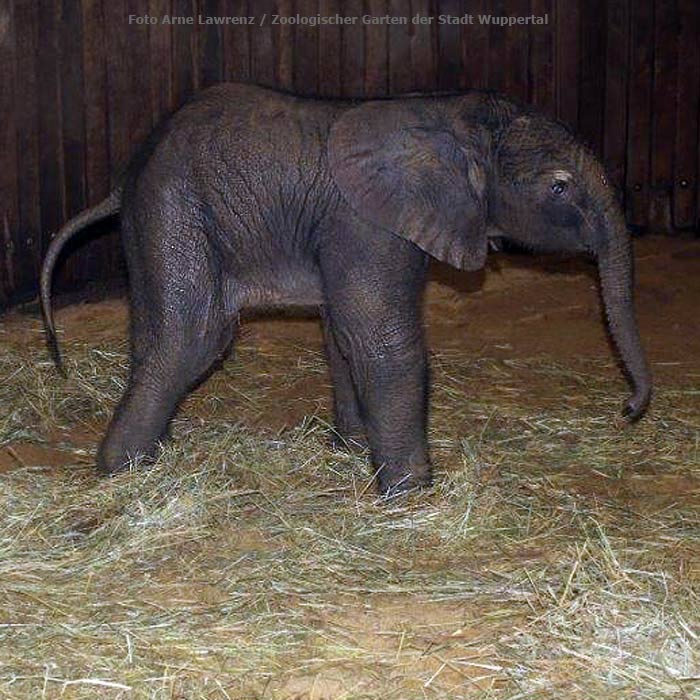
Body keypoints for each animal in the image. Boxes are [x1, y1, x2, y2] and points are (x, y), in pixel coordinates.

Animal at [38, 82, 652, 494]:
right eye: (559, 187)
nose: (628, 408)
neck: (454, 117)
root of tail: (124, 178)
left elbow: (344, 335)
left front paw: (353, 452)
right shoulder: (368, 223)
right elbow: (384, 342)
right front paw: (411, 494)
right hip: (176, 208)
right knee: (193, 336)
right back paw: (124, 472)